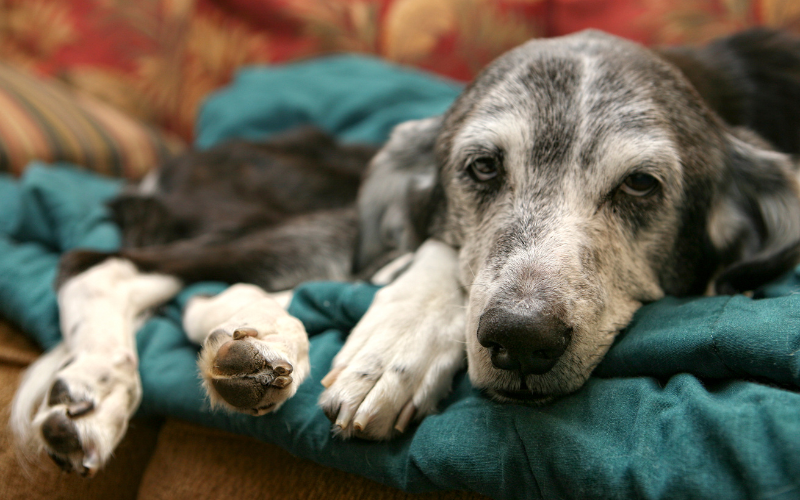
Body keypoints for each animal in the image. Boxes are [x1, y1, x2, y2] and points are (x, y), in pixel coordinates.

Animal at [9, 28, 800, 476]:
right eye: (481, 168)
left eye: (640, 184)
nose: (521, 340)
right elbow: (439, 258)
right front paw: (396, 348)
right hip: (324, 222)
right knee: (100, 265)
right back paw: (110, 384)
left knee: (189, 290)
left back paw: (248, 348)